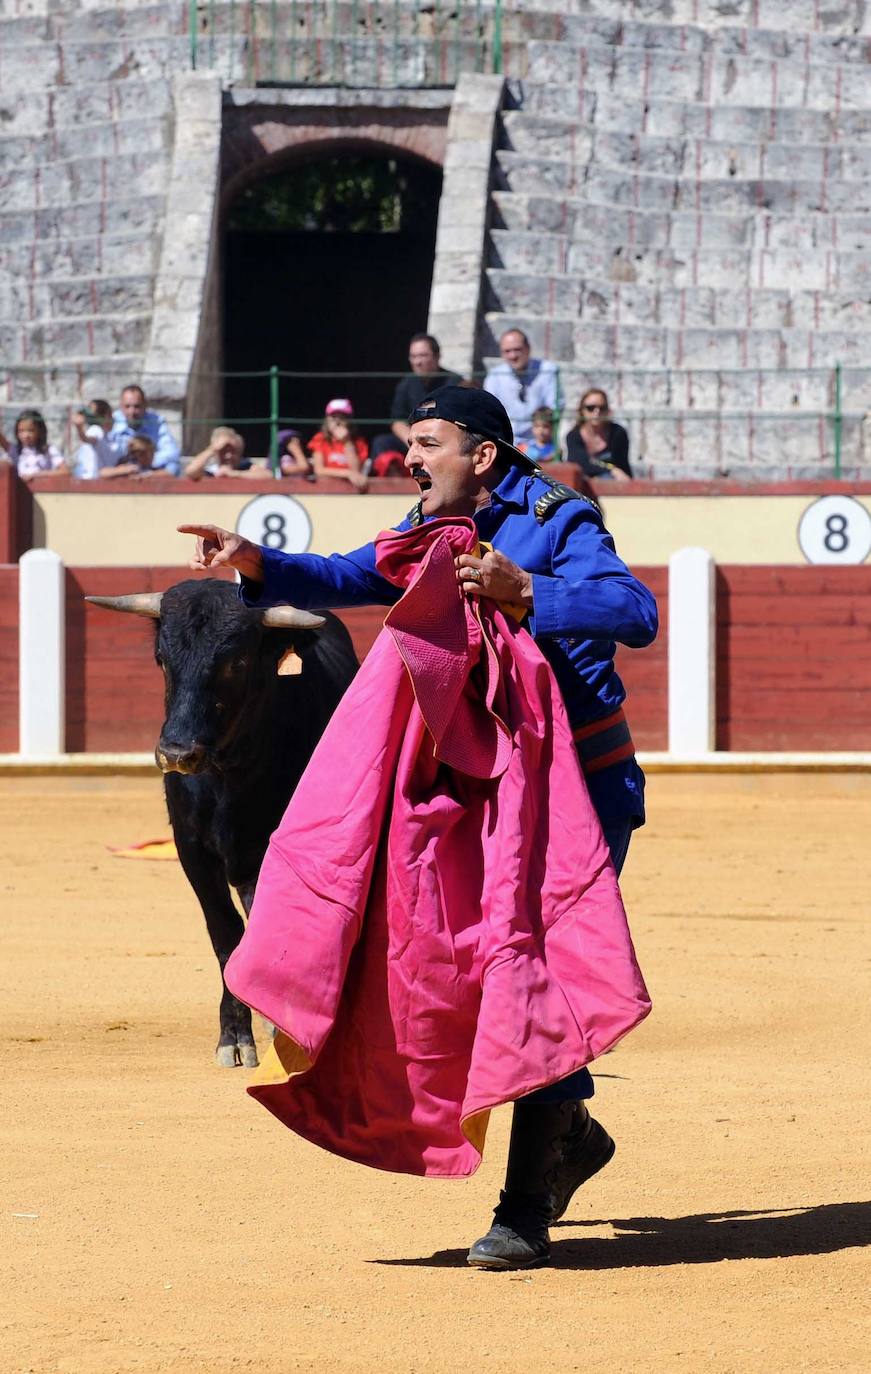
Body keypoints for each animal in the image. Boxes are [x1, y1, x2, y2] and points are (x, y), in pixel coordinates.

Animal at [86, 577, 357, 1060]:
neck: (230, 774)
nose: (176, 753)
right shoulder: (192, 849)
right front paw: (235, 1037)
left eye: (237, 661)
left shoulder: (272, 849)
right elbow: (226, 932)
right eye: (161, 658)